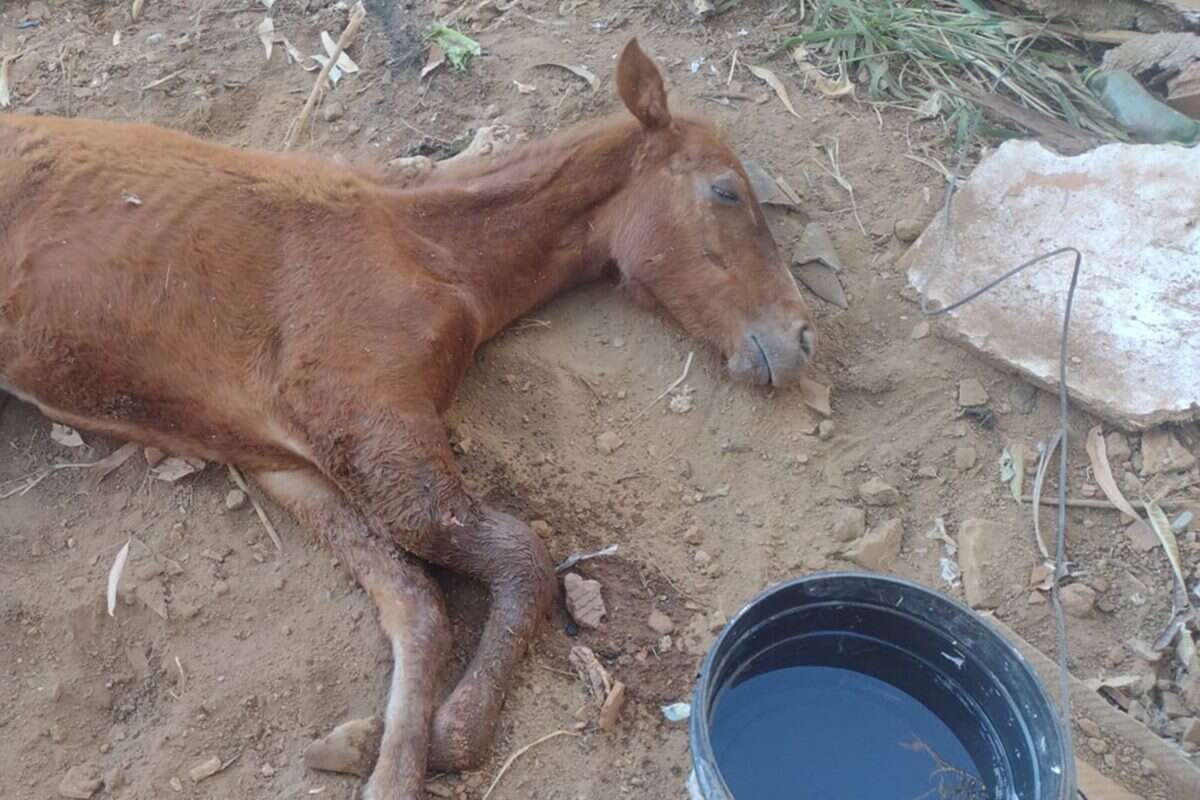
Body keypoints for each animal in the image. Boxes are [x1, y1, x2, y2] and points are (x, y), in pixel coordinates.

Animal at [0, 38, 816, 800]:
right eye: (726, 191)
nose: (800, 339)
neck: (431, 252)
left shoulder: (292, 460)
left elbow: (416, 605)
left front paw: (379, 746)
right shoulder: (367, 423)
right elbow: (522, 559)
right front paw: (432, 744)